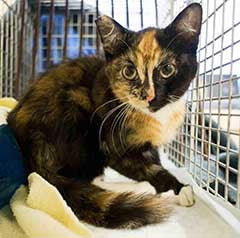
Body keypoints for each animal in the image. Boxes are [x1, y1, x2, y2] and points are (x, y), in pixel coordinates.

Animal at [7, 3, 202, 229]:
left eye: (167, 69)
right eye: (129, 72)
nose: (148, 95)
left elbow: (154, 160)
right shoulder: (112, 143)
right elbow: (148, 168)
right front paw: (179, 189)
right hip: (76, 106)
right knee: (82, 179)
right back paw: (142, 189)